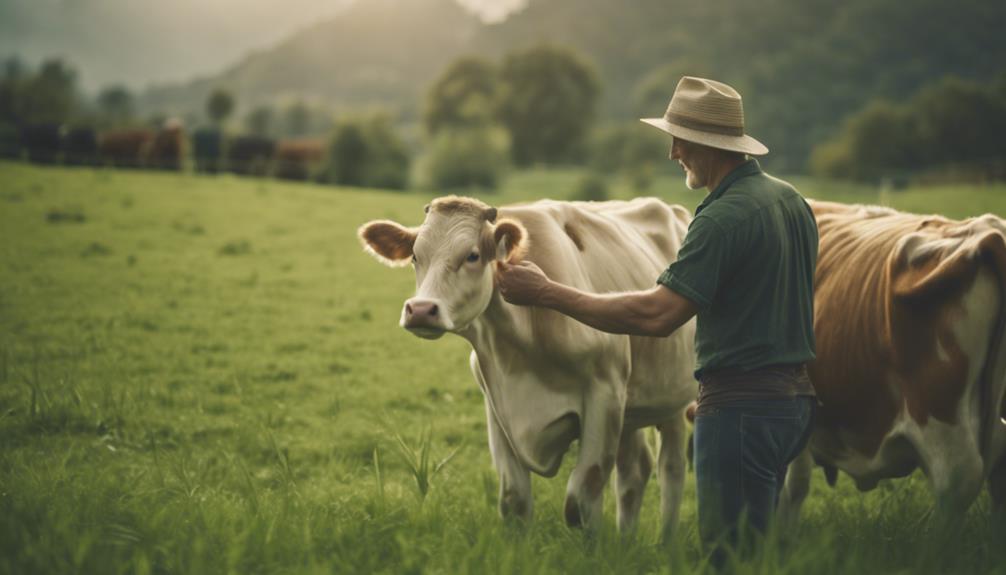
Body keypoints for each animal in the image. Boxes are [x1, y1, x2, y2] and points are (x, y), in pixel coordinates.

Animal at [362, 195, 700, 538]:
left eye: (472, 255)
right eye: (415, 256)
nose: (420, 310)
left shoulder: (604, 396)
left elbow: (581, 500)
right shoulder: (496, 403)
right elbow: (515, 501)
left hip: (672, 401)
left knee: (671, 470)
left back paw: (666, 541)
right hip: (632, 410)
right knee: (634, 472)